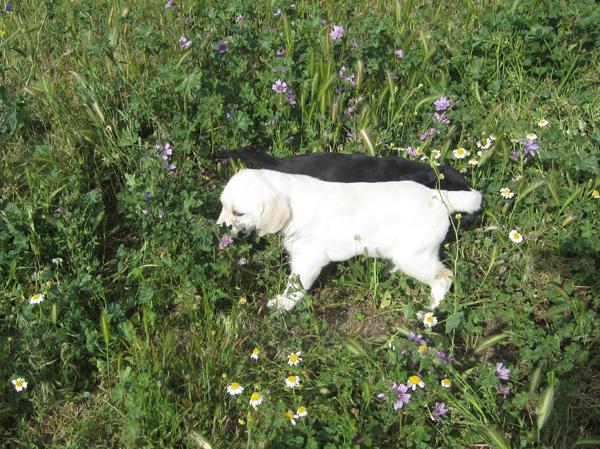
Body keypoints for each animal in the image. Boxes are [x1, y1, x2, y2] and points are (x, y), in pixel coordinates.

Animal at [217, 168, 482, 312]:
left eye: (238, 213)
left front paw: (283, 304)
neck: (292, 202)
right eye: (222, 206)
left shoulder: (309, 259)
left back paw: (428, 311)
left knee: (445, 277)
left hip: (416, 258)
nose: (220, 227)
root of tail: (439, 196)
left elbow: (295, 286)